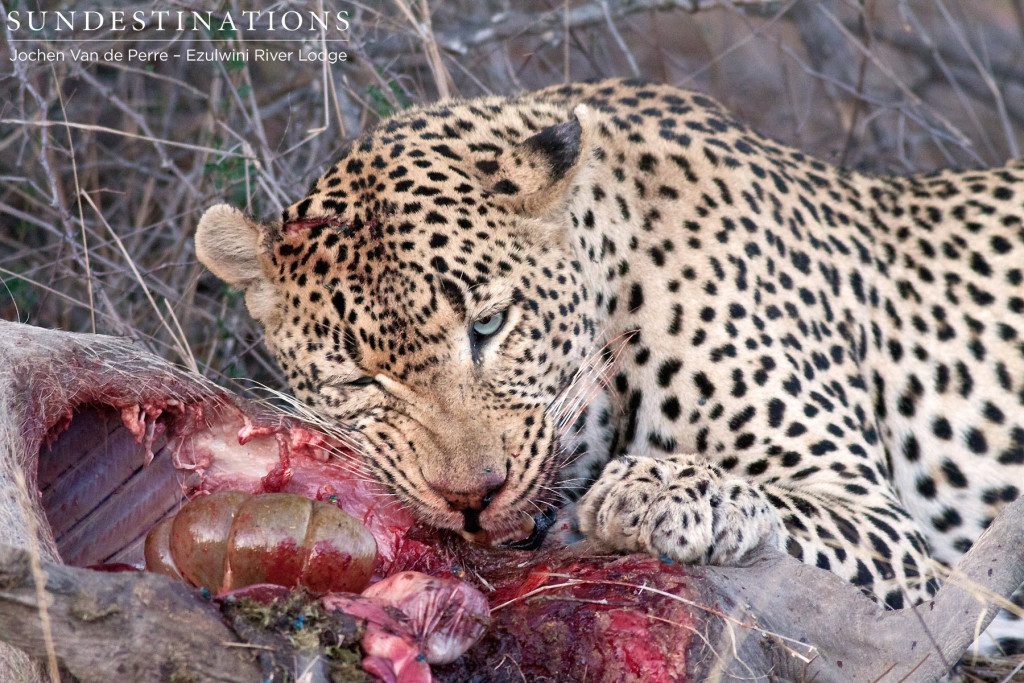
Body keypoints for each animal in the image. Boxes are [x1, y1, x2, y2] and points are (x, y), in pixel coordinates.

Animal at [197, 77, 1024, 655]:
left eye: (488, 325)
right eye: (360, 380)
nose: (472, 496)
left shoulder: (885, 525)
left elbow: (779, 507)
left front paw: (662, 492)